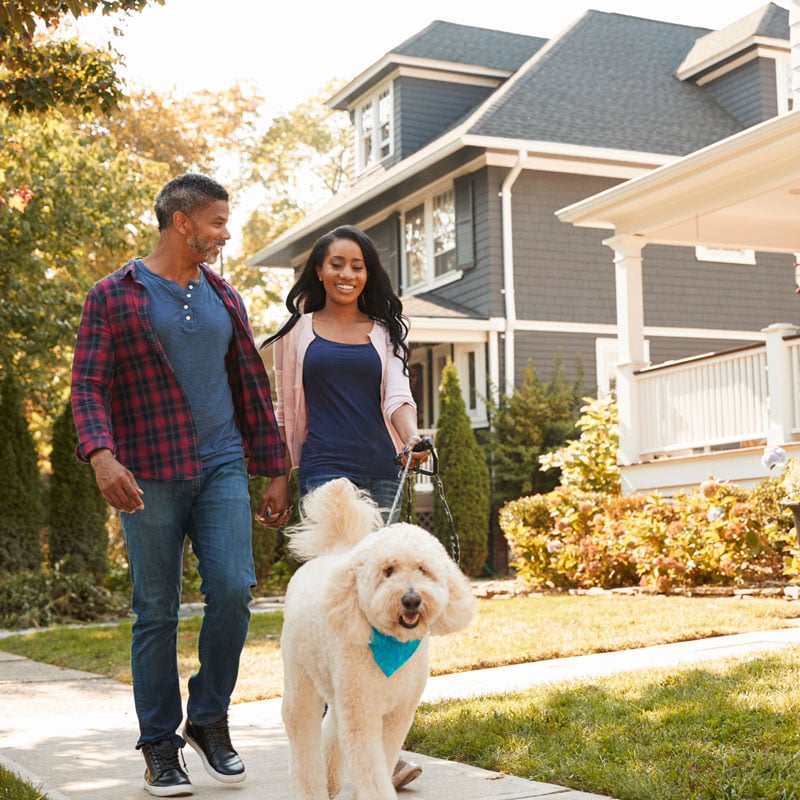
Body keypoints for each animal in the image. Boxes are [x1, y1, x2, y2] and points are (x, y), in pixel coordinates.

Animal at [280, 478, 476, 796]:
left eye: (423, 569)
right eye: (388, 570)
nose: (411, 599)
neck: (393, 644)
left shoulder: (398, 714)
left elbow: (383, 759)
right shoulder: (363, 715)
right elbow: (370, 771)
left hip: (339, 690)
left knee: (332, 725)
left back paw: (331, 781)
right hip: (301, 676)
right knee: (302, 729)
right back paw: (313, 789)